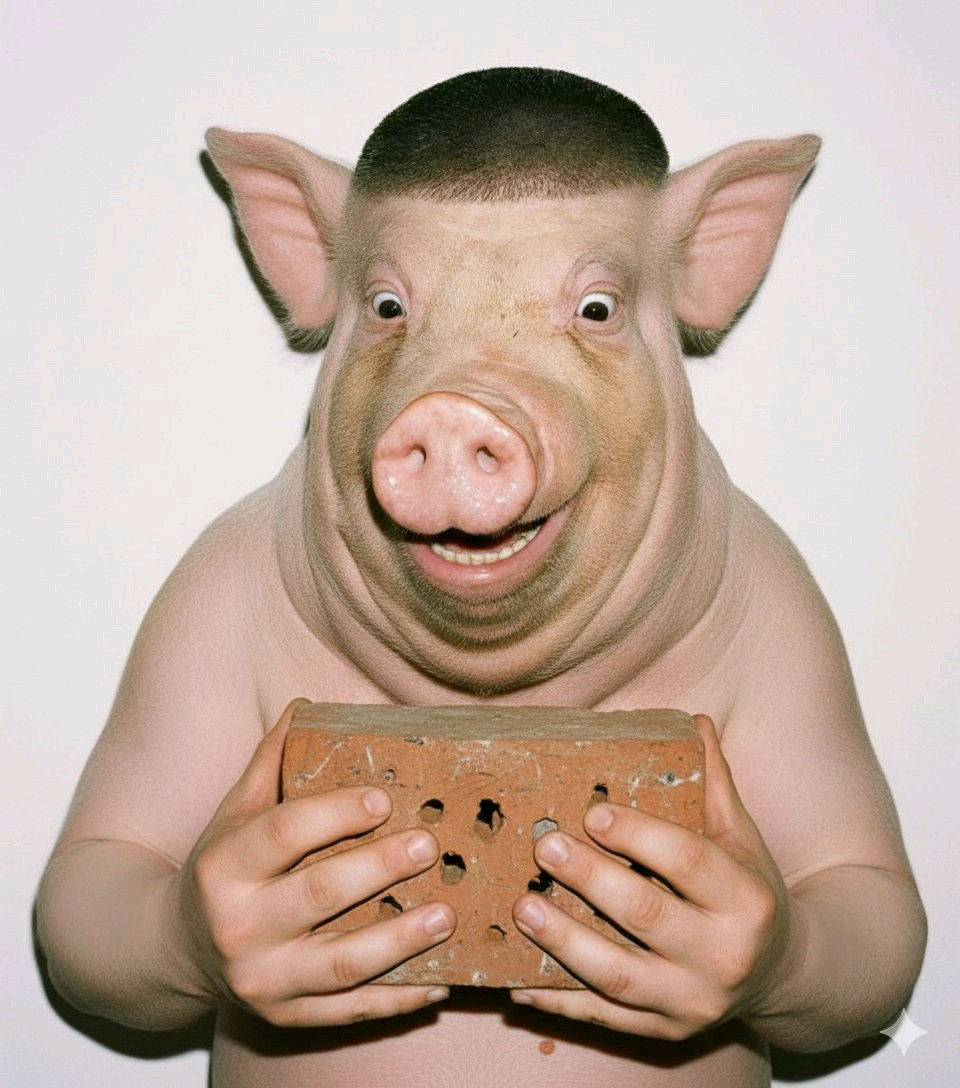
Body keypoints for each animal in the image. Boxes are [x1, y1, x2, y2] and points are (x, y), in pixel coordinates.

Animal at [37, 67, 925, 1088]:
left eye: (598, 309)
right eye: (387, 307)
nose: (457, 412)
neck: (491, 700)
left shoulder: (799, 626)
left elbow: (868, 891)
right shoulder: (191, 610)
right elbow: (98, 865)